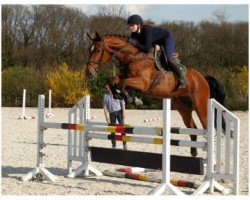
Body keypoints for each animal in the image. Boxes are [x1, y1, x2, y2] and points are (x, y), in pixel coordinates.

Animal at [85, 31, 226, 157]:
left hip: (201, 106)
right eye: (89, 50)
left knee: (206, 125)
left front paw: (133, 99)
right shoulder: (125, 78)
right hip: (183, 108)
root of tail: (203, 78)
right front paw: (123, 96)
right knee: (193, 127)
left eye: (97, 50)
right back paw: (193, 152)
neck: (133, 57)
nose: (89, 74)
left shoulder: (142, 84)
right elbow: (114, 80)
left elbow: (122, 83)